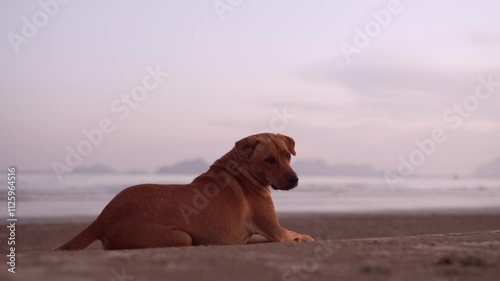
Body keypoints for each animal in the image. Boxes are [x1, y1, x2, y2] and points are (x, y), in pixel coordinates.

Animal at [54, 132, 312, 250]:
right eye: (269, 160)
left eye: (287, 155)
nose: (295, 179)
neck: (242, 170)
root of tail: (103, 217)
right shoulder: (277, 232)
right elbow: (293, 234)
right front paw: (306, 237)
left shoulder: (257, 235)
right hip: (178, 237)